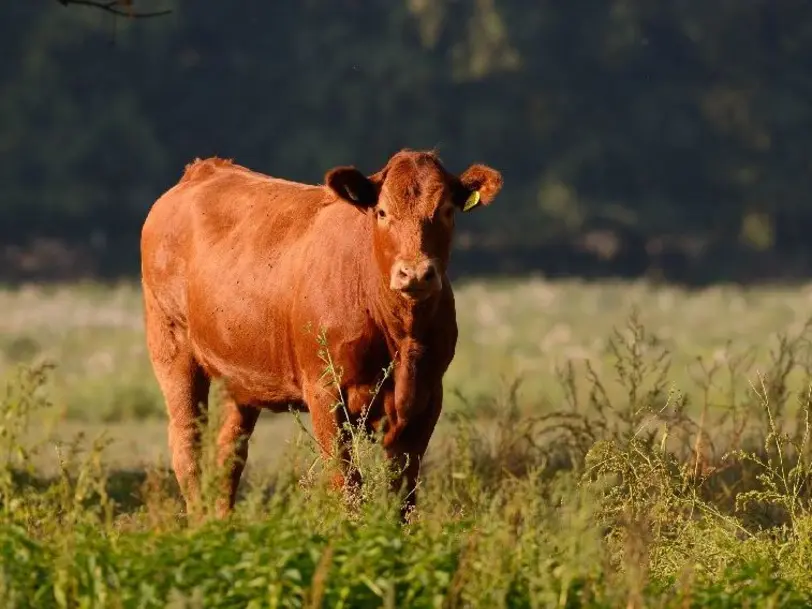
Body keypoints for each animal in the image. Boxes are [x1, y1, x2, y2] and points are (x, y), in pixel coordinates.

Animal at [143, 150, 504, 520]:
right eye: (382, 212)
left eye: (446, 210)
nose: (415, 273)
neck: (402, 336)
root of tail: (204, 169)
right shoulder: (325, 392)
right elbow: (346, 485)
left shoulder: (427, 397)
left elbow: (402, 494)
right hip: (170, 344)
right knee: (187, 444)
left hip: (240, 376)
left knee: (229, 454)